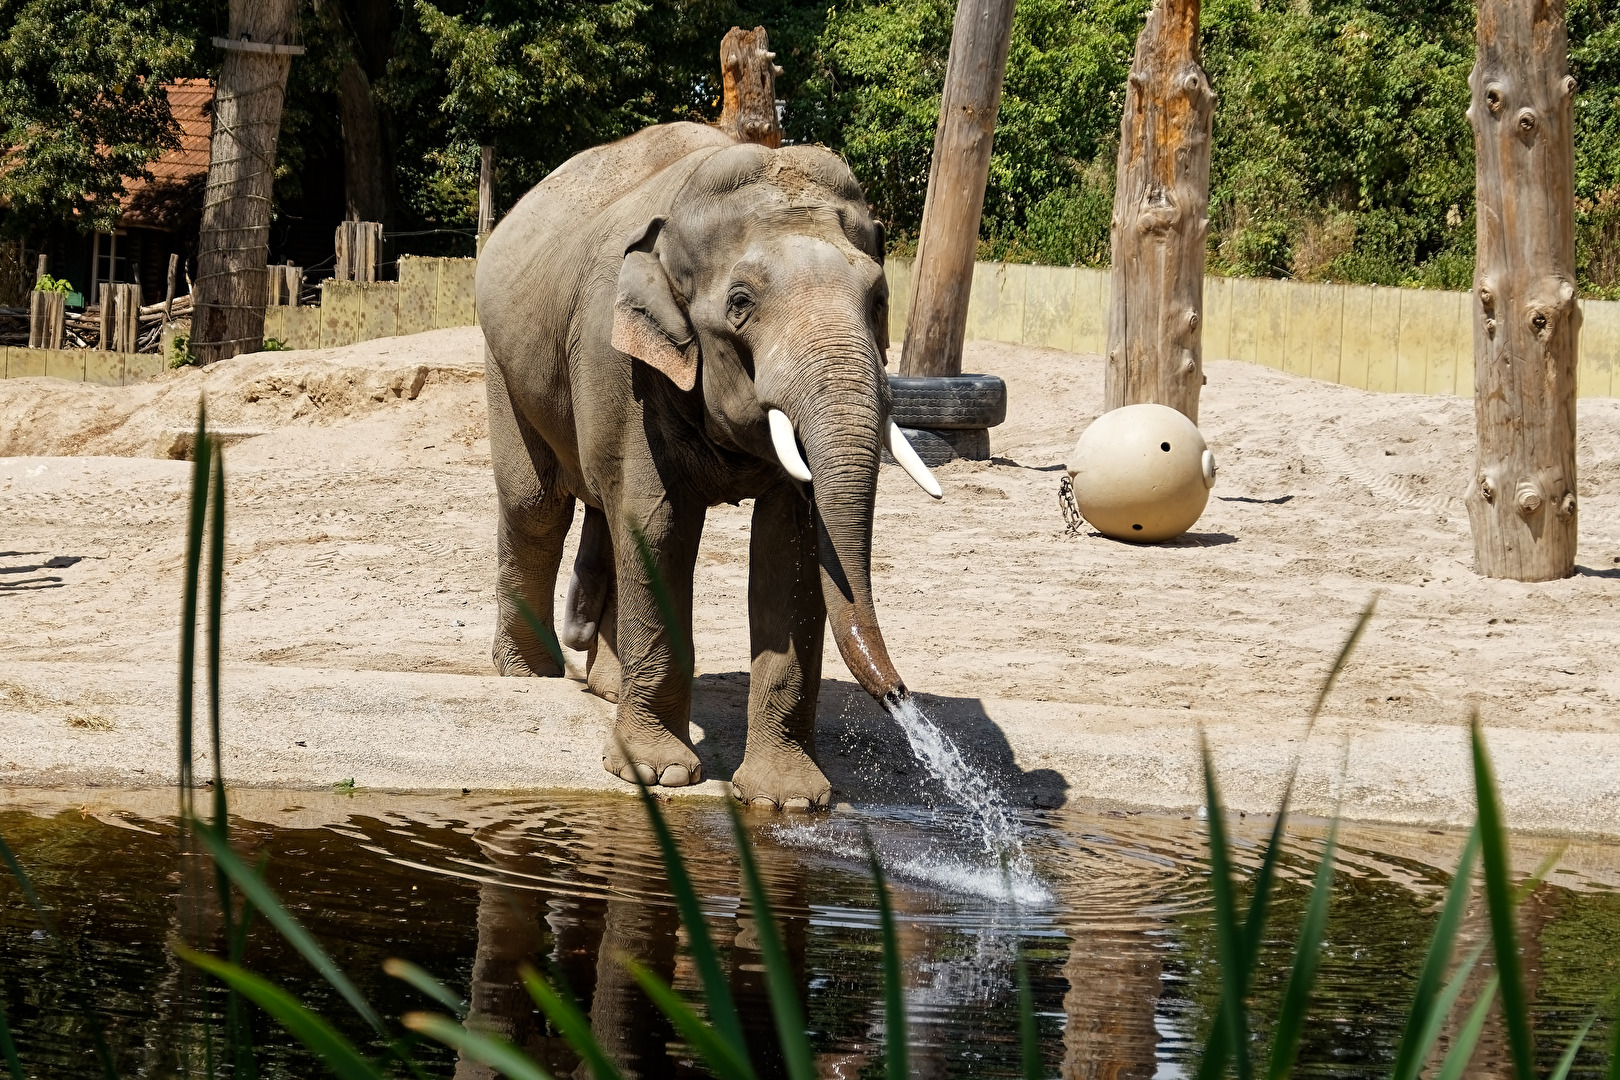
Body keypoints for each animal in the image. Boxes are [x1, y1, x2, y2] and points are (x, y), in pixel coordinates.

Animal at [475, 121, 941, 810]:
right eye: (740, 301)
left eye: (879, 297)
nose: (900, 697)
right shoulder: (625, 366)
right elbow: (658, 525)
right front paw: (656, 774)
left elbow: (790, 547)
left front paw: (787, 800)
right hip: (504, 363)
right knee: (536, 506)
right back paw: (528, 675)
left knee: (604, 513)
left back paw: (606, 687)